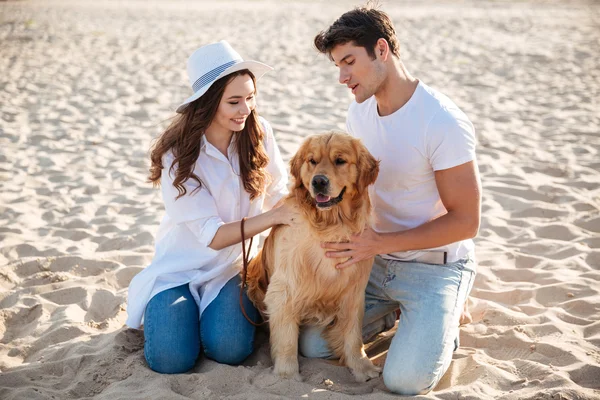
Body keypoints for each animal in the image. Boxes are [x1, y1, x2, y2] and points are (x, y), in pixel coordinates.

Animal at [246, 131, 382, 382]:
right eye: (312, 161)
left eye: (340, 160)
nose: (318, 181)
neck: (331, 225)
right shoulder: (284, 289)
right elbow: (286, 338)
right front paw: (287, 376)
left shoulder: (354, 290)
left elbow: (353, 333)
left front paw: (361, 367)